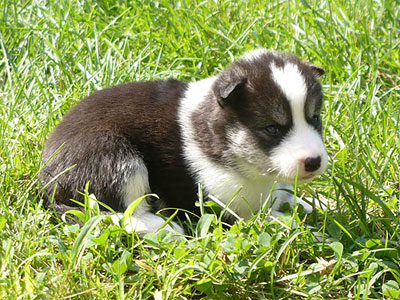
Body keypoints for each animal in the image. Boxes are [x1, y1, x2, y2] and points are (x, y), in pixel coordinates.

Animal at [40, 49, 328, 234]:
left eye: (314, 118)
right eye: (272, 128)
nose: (314, 161)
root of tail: (45, 184)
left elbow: (286, 194)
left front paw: (319, 204)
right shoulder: (221, 206)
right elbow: (269, 219)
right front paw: (308, 229)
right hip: (113, 156)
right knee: (115, 212)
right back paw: (160, 227)